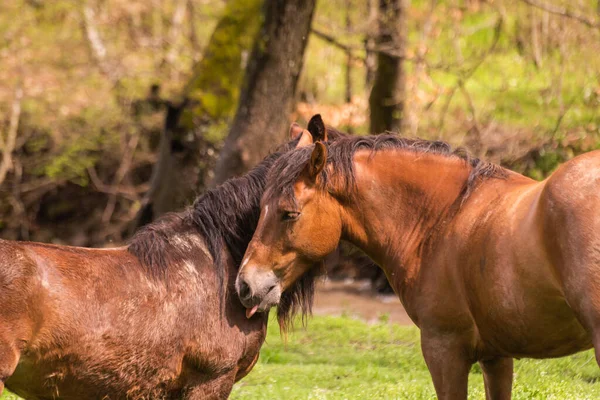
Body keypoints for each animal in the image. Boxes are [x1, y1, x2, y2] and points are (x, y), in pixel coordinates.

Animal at [238, 123, 600, 398]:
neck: (444, 217)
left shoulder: (444, 351)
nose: (245, 285)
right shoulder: (496, 358)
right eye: (262, 207)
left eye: (290, 213)